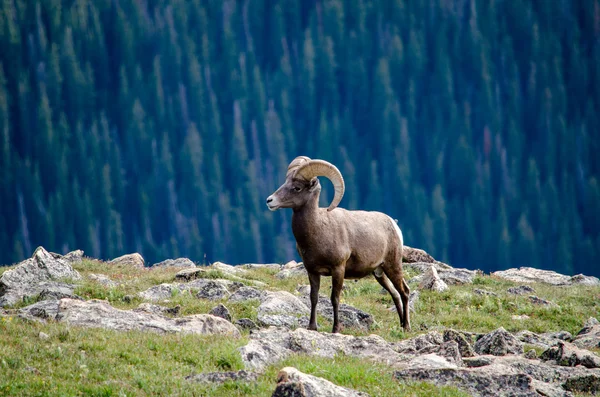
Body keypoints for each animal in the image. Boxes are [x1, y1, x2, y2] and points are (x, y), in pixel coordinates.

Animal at [268, 155, 412, 332]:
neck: (318, 228)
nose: (269, 200)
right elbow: (313, 297)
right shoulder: (312, 271)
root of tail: (394, 224)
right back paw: (401, 325)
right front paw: (312, 327)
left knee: (404, 292)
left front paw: (335, 329)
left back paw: (406, 327)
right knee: (395, 294)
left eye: (297, 188)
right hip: (379, 273)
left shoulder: (338, 270)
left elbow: (335, 298)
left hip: (393, 266)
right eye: (285, 181)